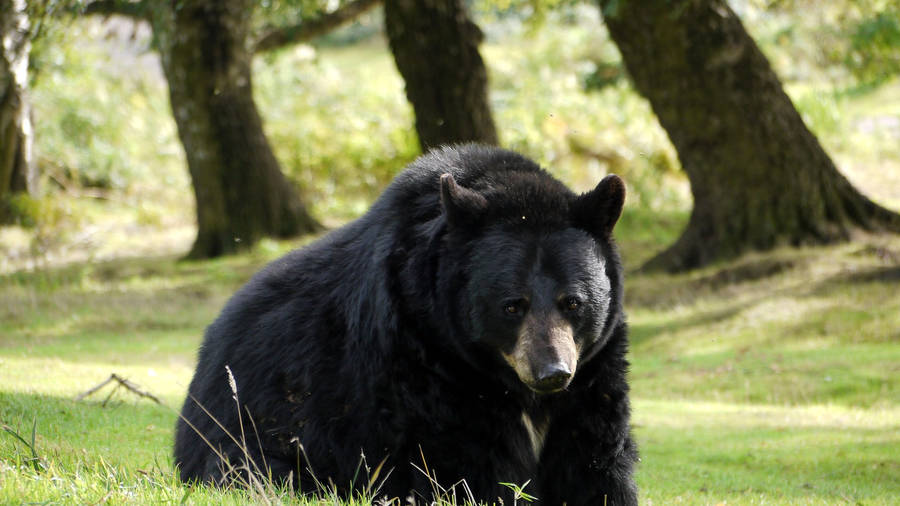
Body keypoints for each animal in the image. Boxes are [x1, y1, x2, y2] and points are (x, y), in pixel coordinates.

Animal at [174, 144, 638, 505]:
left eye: (573, 302)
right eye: (512, 306)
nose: (552, 372)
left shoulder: (593, 373)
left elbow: (594, 459)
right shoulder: (422, 360)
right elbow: (461, 462)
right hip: (252, 433)